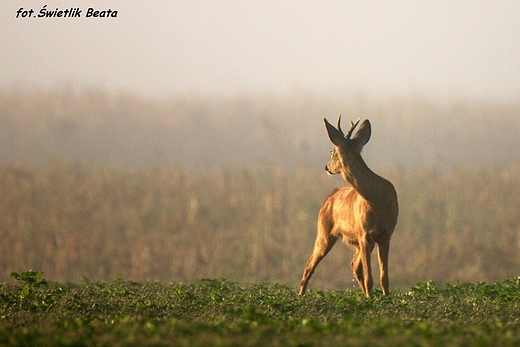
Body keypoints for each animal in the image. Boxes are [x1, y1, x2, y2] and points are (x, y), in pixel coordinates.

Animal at [300, 115, 398, 298]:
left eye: (331, 151)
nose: (326, 167)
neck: (377, 200)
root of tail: (328, 198)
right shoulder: (364, 233)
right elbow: (370, 278)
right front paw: (370, 298)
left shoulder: (385, 234)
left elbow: (384, 278)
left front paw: (384, 297)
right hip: (324, 231)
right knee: (310, 264)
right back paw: (300, 294)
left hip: (356, 241)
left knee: (354, 265)